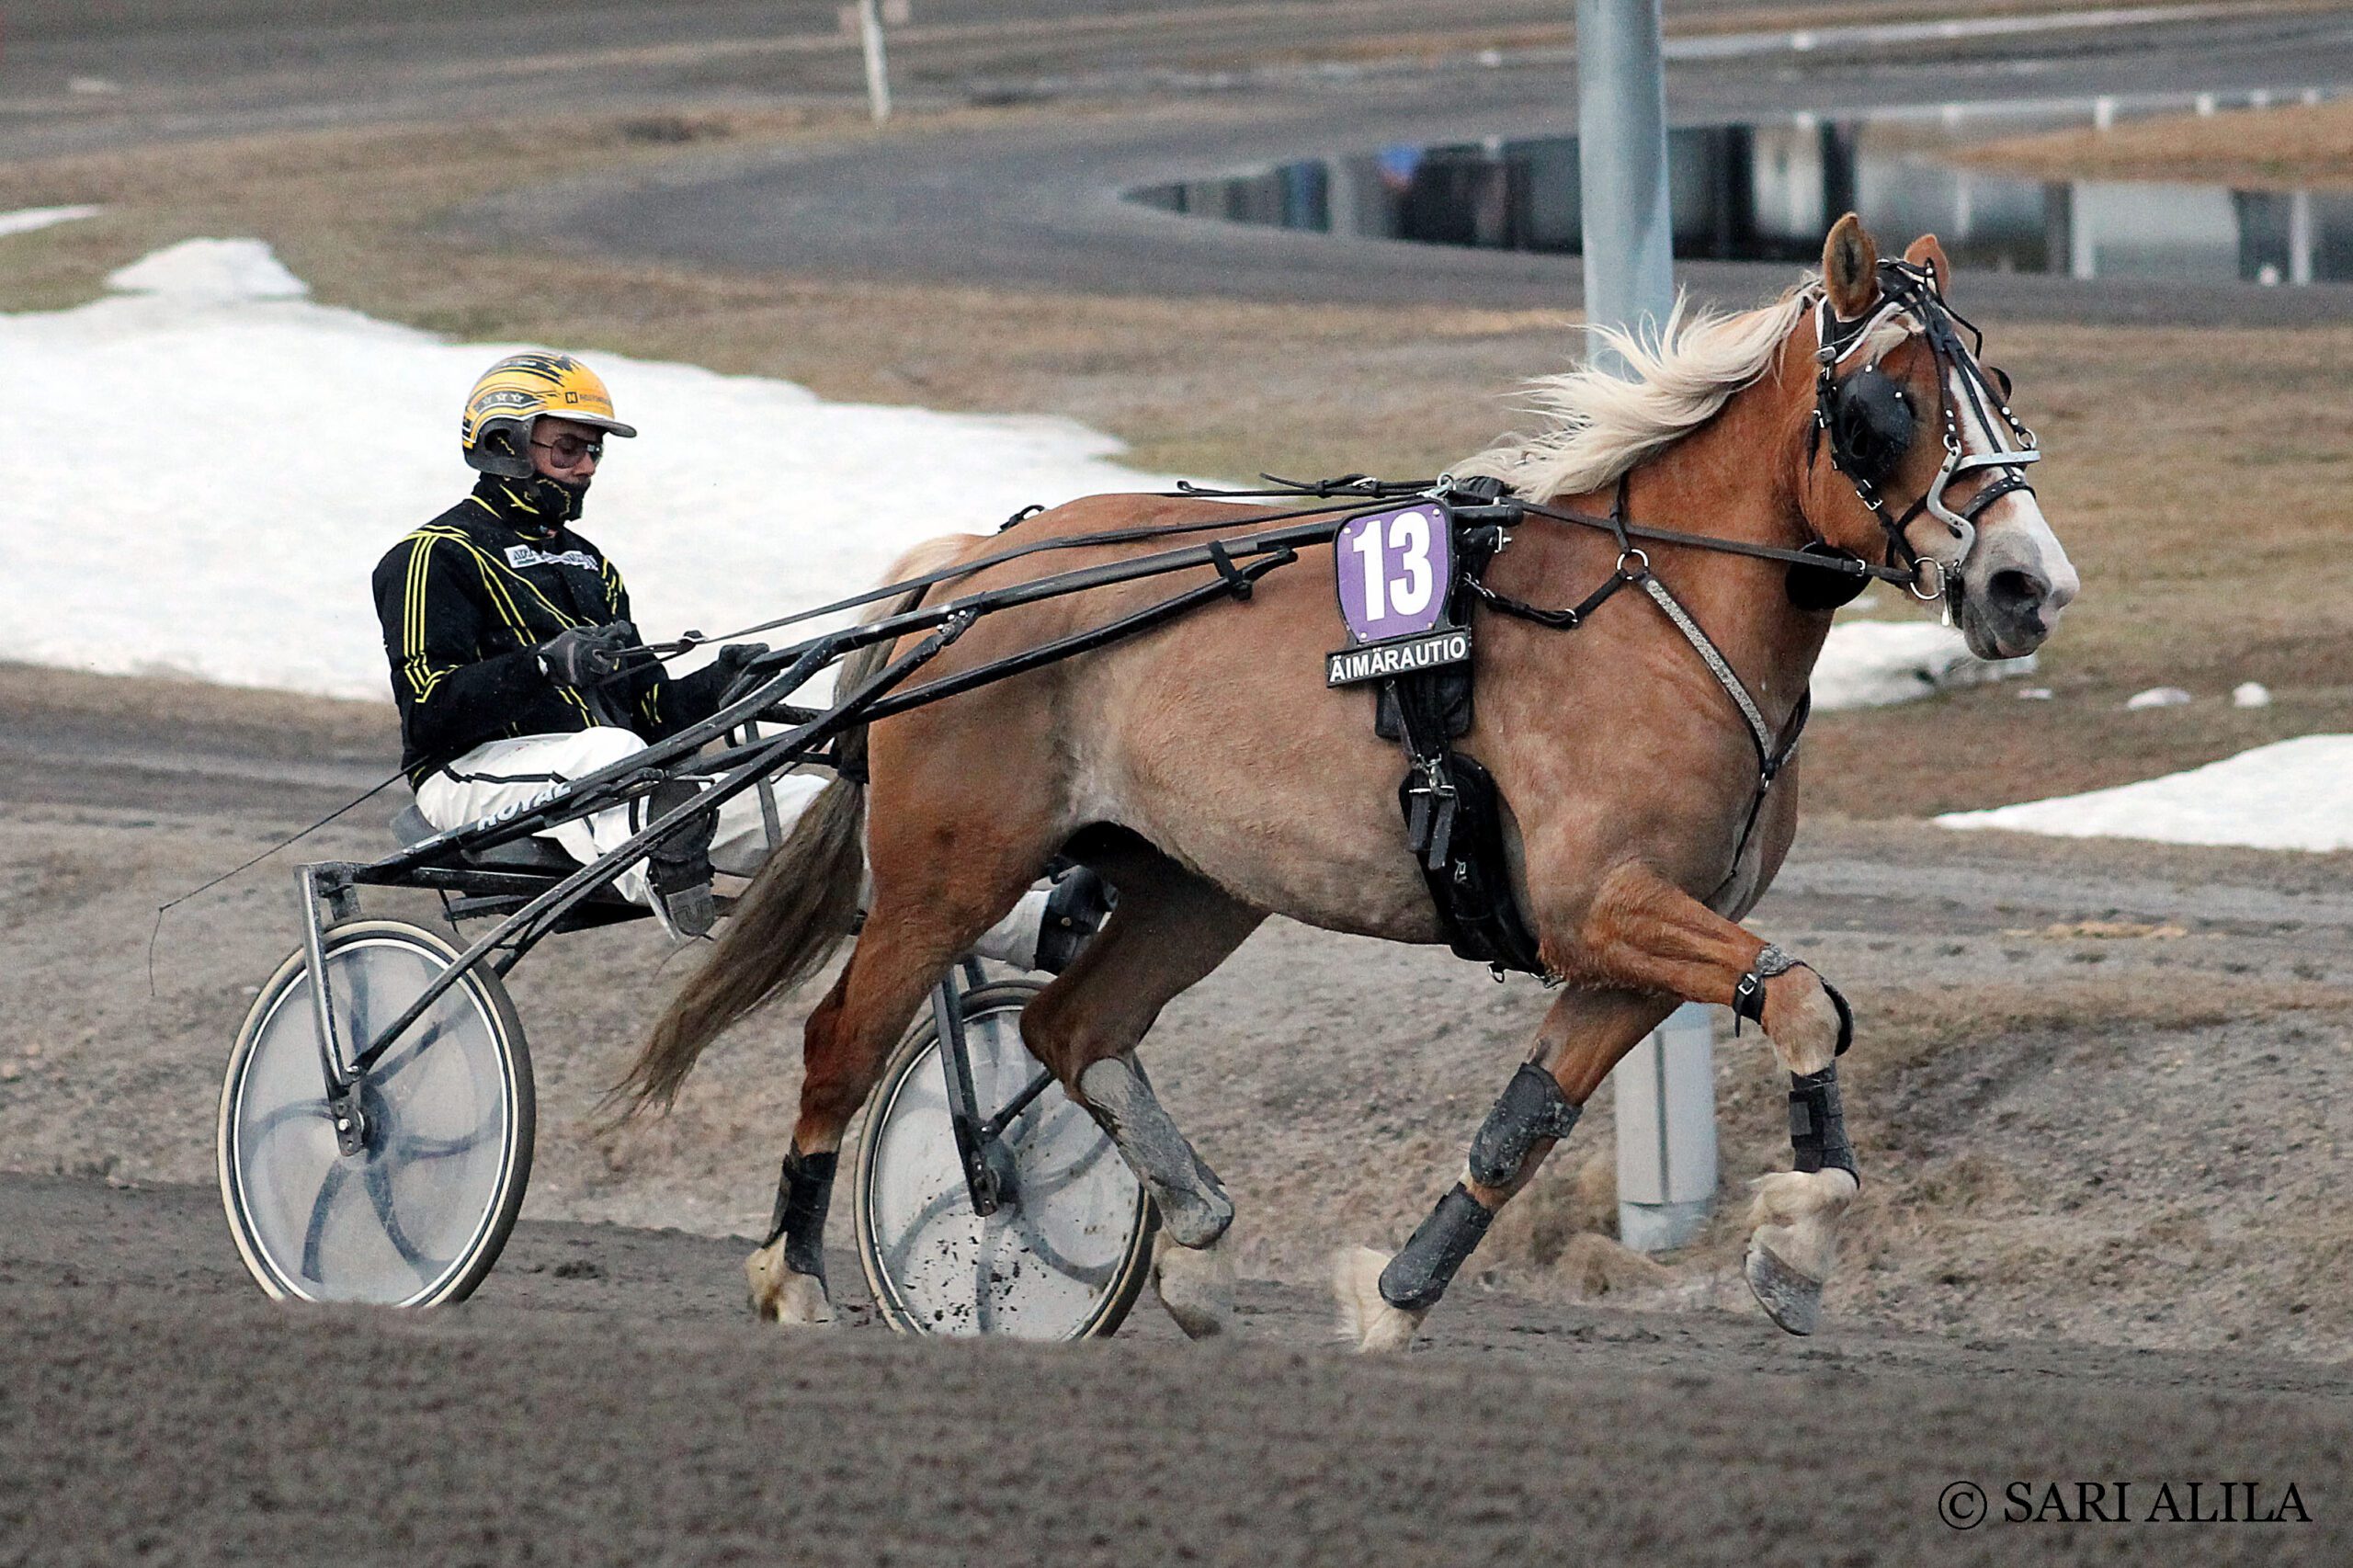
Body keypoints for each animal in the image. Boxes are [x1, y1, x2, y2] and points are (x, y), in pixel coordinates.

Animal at [619, 215, 2079, 1349]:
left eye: (1999, 381)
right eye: (1891, 404)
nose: (2029, 584)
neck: (1651, 609)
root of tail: (967, 570)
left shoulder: (1633, 943)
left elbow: (1530, 1120)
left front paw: (1393, 1292)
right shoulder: (1598, 906)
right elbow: (1803, 998)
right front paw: (1792, 1246)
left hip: (1196, 883)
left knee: (1070, 1029)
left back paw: (1197, 1237)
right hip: (948, 870)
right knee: (843, 1040)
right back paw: (798, 1278)